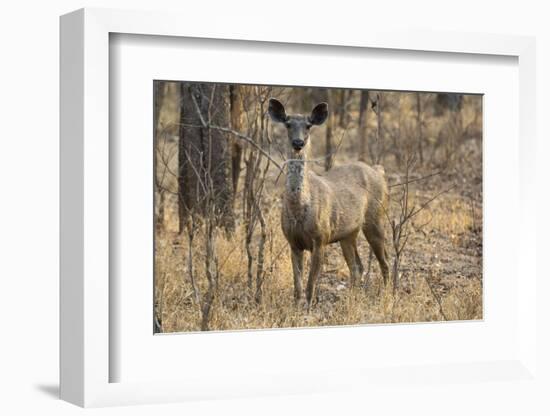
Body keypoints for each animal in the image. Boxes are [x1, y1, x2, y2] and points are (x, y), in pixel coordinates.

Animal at [268, 97, 390, 306]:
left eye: (308, 125)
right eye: (288, 124)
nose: (298, 142)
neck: (299, 211)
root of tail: (379, 171)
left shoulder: (320, 239)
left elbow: (310, 287)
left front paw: (308, 309)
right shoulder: (293, 242)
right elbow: (297, 288)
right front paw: (296, 309)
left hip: (376, 218)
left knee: (385, 262)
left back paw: (389, 296)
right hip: (348, 233)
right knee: (357, 267)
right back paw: (352, 300)